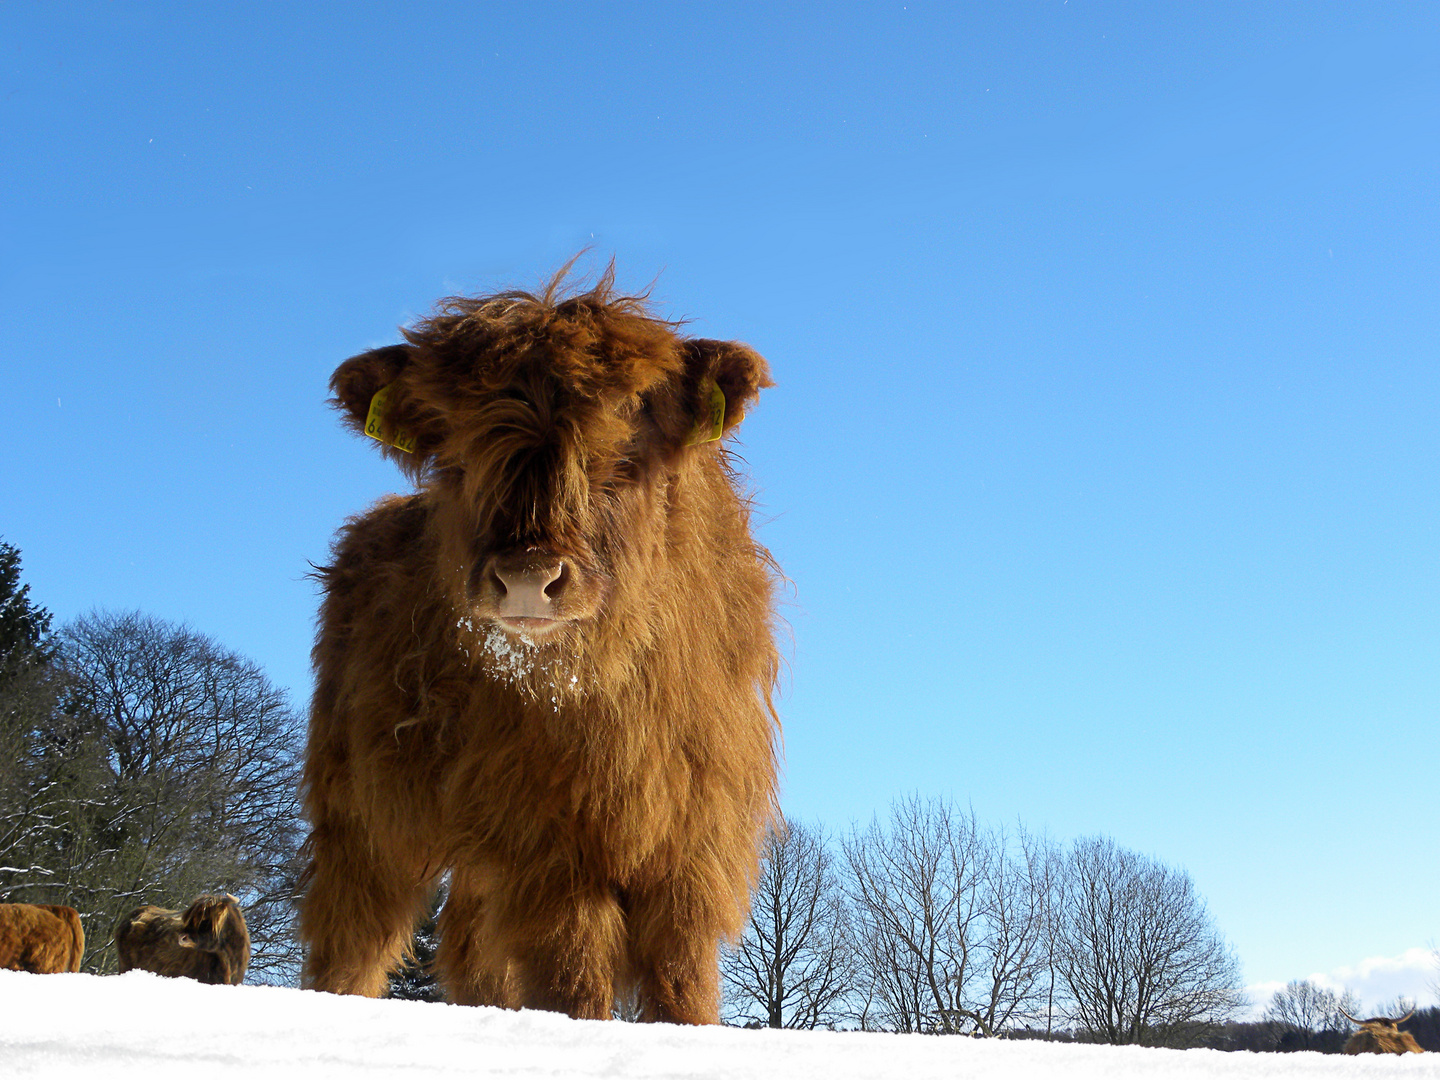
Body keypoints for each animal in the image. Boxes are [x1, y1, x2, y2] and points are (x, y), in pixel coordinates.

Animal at [296, 266, 783, 1025]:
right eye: (457, 456)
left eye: (626, 440)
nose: (527, 577)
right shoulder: (549, 850)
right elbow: (572, 984)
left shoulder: (693, 848)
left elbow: (683, 988)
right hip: (359, 812)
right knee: (353, 935)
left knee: (469, 949)